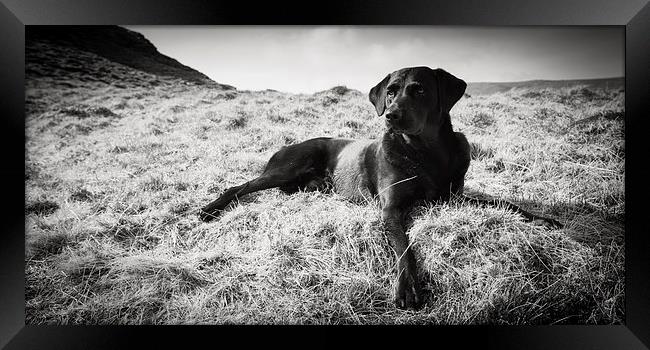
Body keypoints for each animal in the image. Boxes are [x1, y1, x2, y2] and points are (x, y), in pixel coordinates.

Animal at [200, 67, 560, 310]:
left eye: (418, 90)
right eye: (390, 91)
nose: (391, 115)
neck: (425, 152)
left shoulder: (454, 196)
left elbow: (507, 205)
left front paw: (543, 219)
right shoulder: (390, 208)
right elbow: (403, 246)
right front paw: (407, 287)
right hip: (290, 164)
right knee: (241, 185)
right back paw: (209, 209)